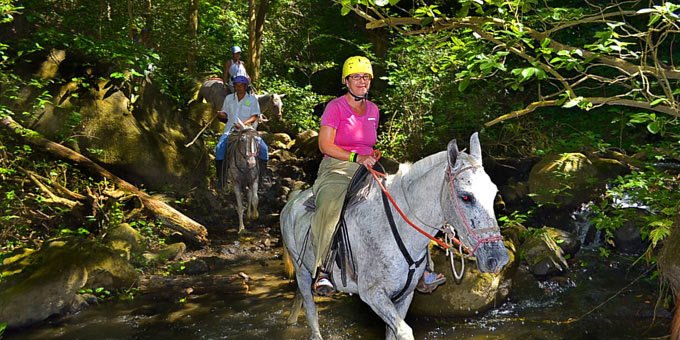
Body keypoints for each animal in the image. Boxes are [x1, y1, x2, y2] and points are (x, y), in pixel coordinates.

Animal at [278, 133, 508, 340]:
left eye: (494, 193)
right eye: (466, 197)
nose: (498, 258)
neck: (396, 228)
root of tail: (293, 200)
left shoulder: (404, 296)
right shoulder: (373, 295)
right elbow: (404, 332)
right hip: (302, 272)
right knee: (311, 313)